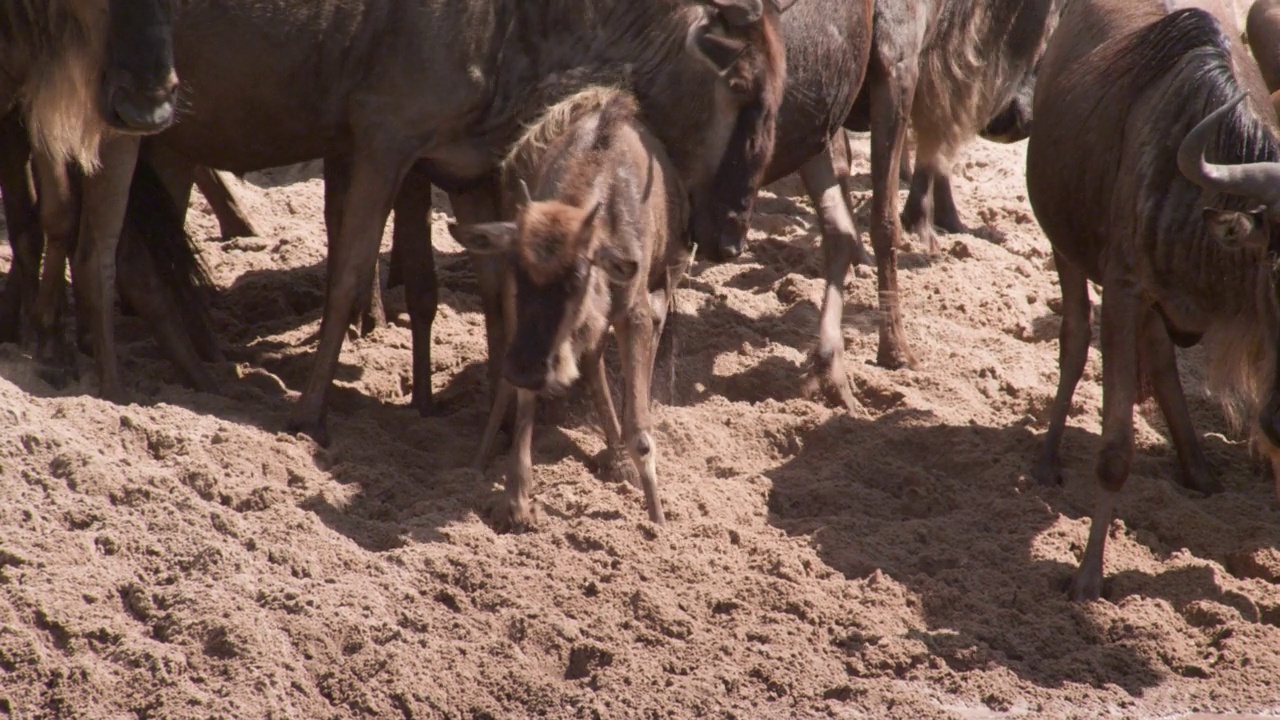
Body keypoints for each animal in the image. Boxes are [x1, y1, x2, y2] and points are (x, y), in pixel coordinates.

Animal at [450, 88, 691, 527]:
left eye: (579, 274)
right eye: (517, 268)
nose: (526, 368)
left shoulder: (634, 315)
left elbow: (640, 427)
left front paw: (657, 517)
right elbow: (521, 398)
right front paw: (514, 500)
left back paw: (617, 457)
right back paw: (480, 459)